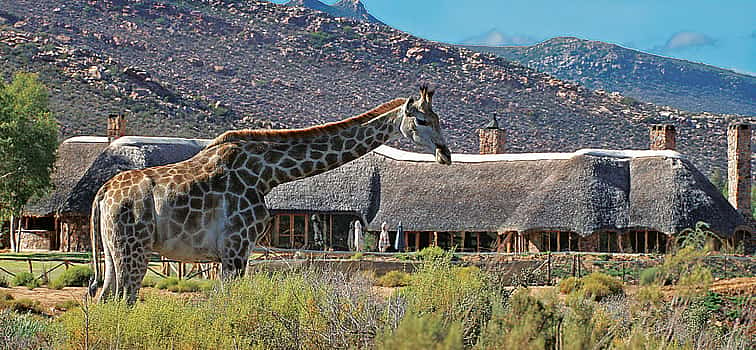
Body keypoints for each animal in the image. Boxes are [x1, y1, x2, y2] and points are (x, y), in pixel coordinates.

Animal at [91, 86, 452, 302]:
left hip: (112, 251)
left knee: (104, 296)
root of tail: (102, 194)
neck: (269, 175)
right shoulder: (235, 250)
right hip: (134, 249)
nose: (445, 154)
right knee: (125, 299)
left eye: (438, 117)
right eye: (421, 120)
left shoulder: (235, 254)